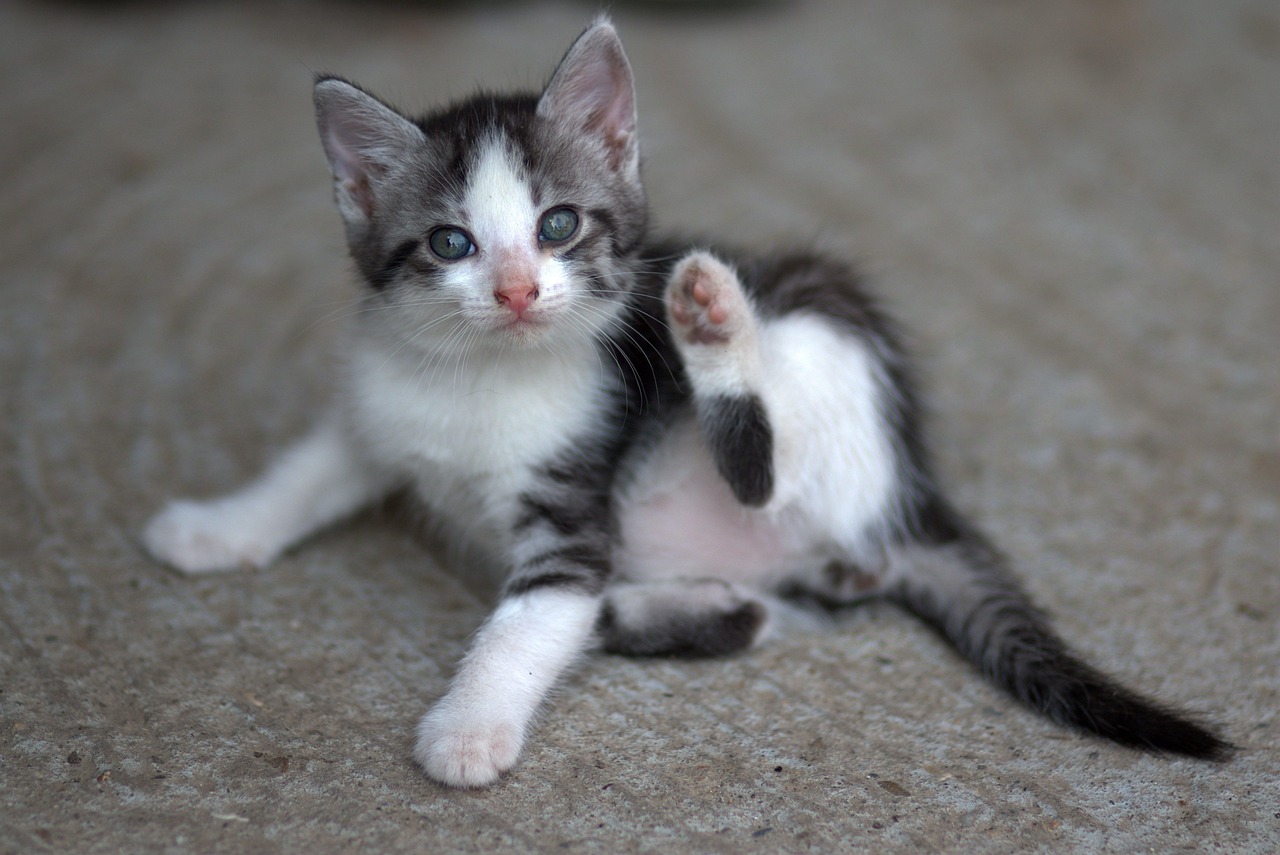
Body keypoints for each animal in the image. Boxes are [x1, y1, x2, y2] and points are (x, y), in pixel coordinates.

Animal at [142, 18, 1228, 788]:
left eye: (559, 226)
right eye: (451, 243)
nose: (516, 291)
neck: (476, 376)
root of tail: (913, 490)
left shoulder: (572, 506)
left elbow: (525, 623)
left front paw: (468, 727)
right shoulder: (379, 410)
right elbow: (307, 469)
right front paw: (217, 526)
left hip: (824, 325)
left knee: (760, 468)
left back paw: (713, 329)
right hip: (806, 558)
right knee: (803, 595)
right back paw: (701, 610)